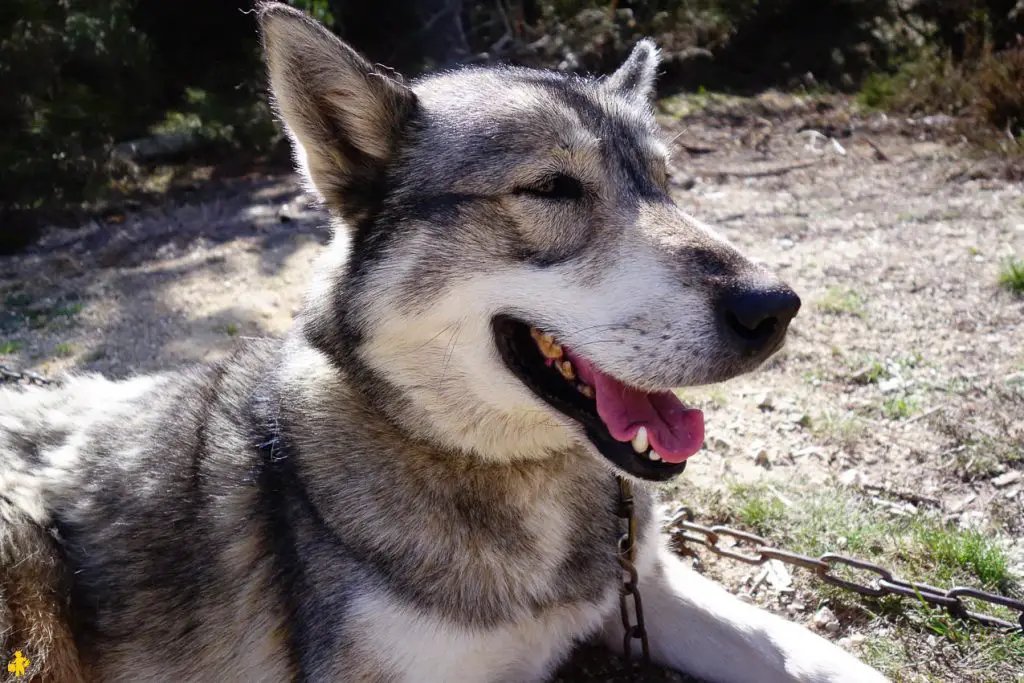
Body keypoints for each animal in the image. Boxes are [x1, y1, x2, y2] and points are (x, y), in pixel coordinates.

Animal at [0, 2, 888, 679]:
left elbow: (825, 660)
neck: (512, 473)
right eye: (552, 188)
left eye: (669, 186)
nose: (773, 307)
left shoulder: (646, 590)